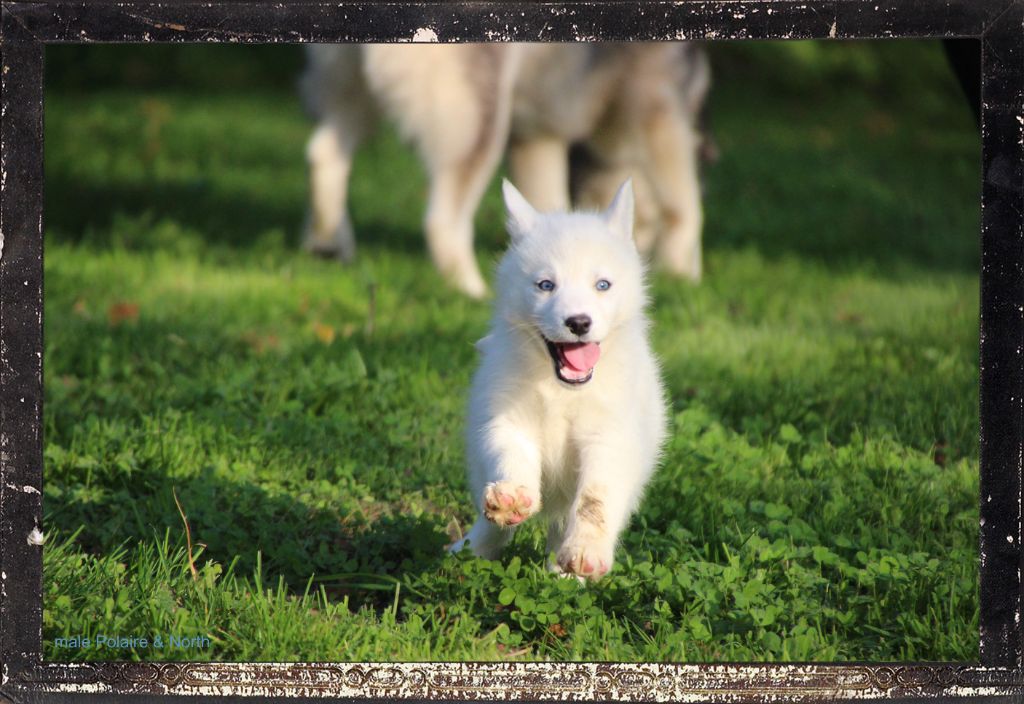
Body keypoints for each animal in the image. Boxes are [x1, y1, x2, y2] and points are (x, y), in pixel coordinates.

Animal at [452, 179, 667, 581]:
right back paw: (470, 548)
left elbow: (596, 498)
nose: (578, 322)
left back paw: (564, 572)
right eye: (545, 285)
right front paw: (511, 497)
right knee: (491, 527)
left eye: (603, 285)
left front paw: (586, 551)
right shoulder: (506, 419)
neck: (560, 390)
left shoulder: (610, 437)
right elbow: (510, 455)